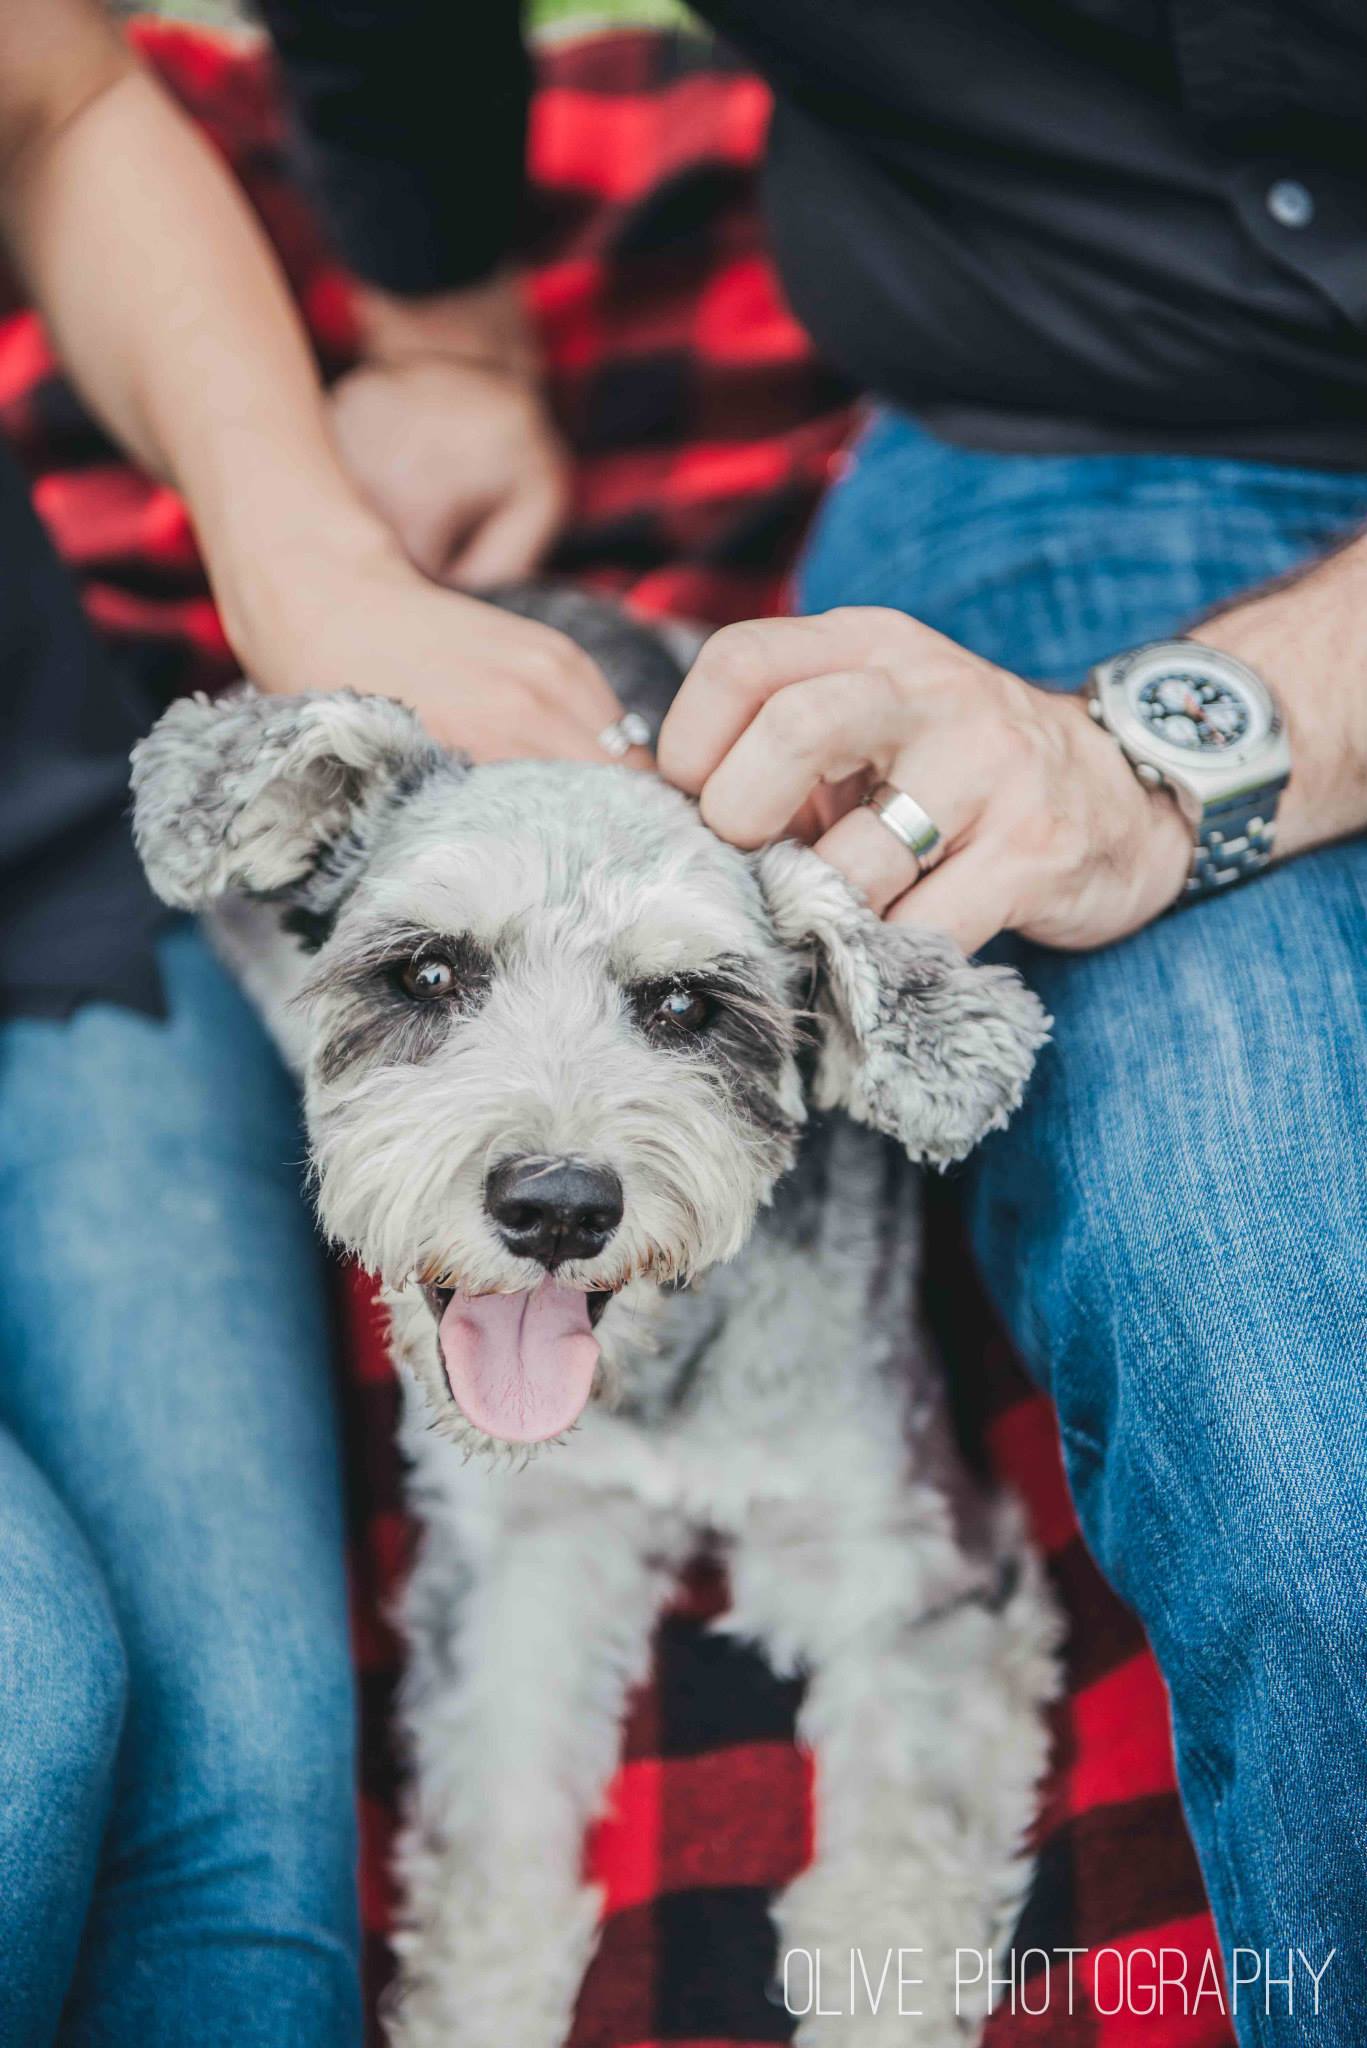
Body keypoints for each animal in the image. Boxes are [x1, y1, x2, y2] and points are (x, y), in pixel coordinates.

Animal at [131, 593, 1057, 2048]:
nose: (557, 1205)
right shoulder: (521, 1565)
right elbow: (495, 1836)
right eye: (428, 973)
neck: (650, 1379)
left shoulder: (902, 1562)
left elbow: (899, 1872)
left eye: (682, 1004)